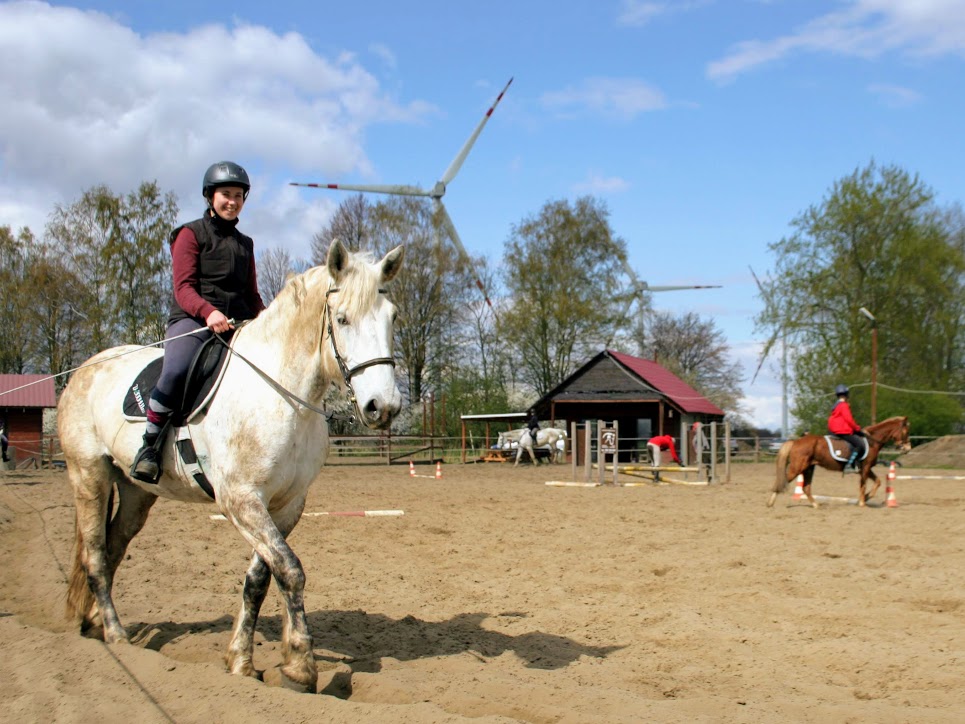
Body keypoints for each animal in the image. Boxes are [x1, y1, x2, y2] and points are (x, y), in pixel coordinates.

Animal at [57, 239, 402, 692]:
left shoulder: (286, 505)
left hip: (135, 494)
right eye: (342, 319)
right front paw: (300, 667)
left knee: (114, 548)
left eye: (392, 317)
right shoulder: (241, 500)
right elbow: (290, 570)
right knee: (96, 555)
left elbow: (260, 579)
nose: (384, 407)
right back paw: (116, 636)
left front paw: (241, 661)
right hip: (89, 476)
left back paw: (98, 623)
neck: (282, 393)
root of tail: (82, 371)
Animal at [764, 416, 908, 512]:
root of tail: (795, 441)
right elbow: (863, 485)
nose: (907, 448)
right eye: (906, 432)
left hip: (809, 468)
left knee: (806, 487)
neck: (871, 441)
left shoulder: (865, 469)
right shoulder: (865, 468)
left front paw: (865, 498)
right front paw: (862, 502)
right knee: (782, 481)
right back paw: (770, 503)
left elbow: (877, 482)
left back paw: (816, 505)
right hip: (798, 467)